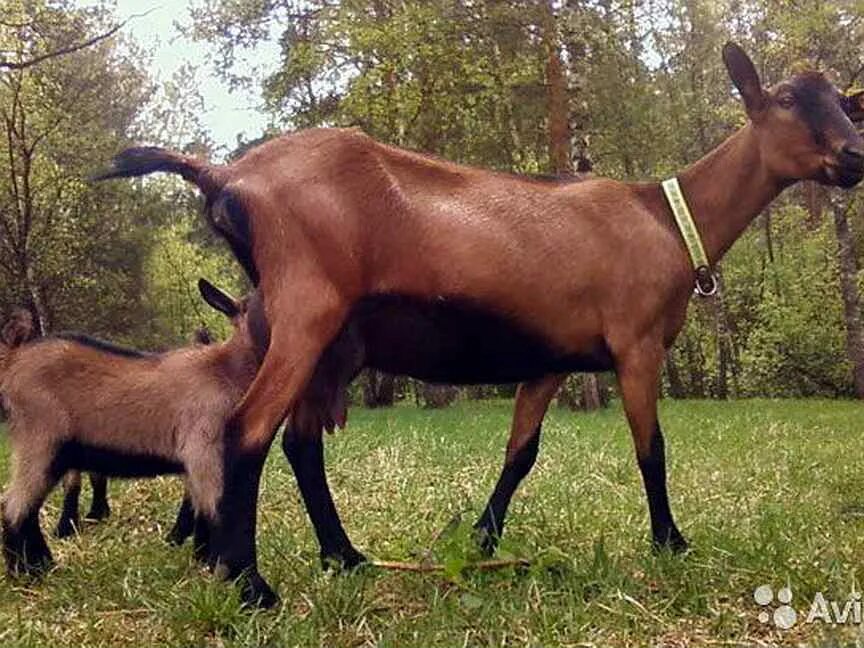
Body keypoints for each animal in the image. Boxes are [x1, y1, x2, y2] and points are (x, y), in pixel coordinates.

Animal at [96, 43, 864, 604]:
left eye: (844, 104)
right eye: (786, 101)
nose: (854, 156)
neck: (666, 220)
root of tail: (224, 176)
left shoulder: (551, 359)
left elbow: (519, 455)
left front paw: (483, 541)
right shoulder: (636, 343)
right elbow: (652, 447)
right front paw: (670, 543)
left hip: (324, 339)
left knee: (300, 444)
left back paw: (345, 557)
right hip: (304, 310)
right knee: (245, 432)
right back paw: (251, 584)